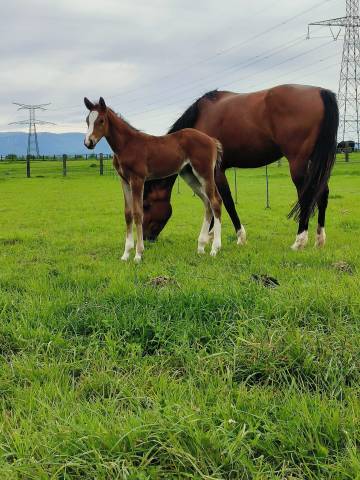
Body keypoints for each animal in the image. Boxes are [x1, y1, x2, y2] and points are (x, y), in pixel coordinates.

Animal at [83, 97, 222, 262]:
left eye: (101, 120)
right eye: (87, 120)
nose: (88, 142)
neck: (126, 145)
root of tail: (211, 140)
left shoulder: (137, 179)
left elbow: (138, 213)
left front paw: (138, 254)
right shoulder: (124, 181)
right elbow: (128, 213)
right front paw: (126, 254)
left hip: (205, 173)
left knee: (215, 201)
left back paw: (215, 249)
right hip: (190, 175)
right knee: (207, 203)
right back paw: (201, 247)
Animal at [142, 84, 338, 249]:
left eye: (146, 205)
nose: (145, 237)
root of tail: (321, 91)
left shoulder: (216, 172)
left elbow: (225, 201)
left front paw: (239, 237)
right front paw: (211, 234)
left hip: (298, 164)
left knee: (307, 195)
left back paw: (299, 241)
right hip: (315, 164)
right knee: (322, 193)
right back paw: (319, 240)